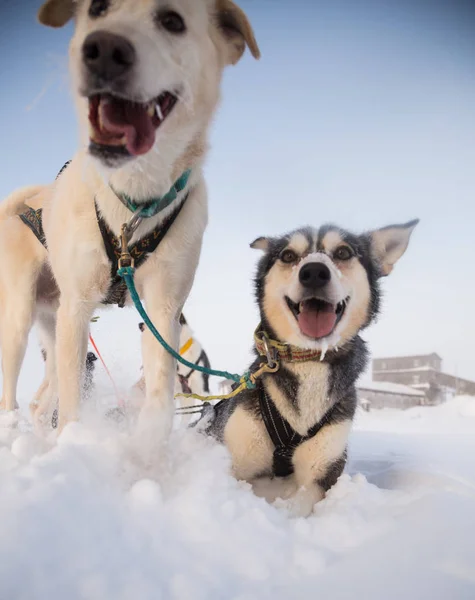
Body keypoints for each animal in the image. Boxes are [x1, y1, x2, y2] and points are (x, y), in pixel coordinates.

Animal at [0, 0, 260, 452]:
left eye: (173, 21)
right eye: (97, 9)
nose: (104, 49)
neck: (133, 203)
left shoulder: (161, 309)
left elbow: (158, 395)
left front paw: (148, 453)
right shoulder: (78, 306)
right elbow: (73, 402)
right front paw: (76, 444)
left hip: (55, 325)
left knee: (41, 401)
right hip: (24, 321)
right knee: (16, 396)